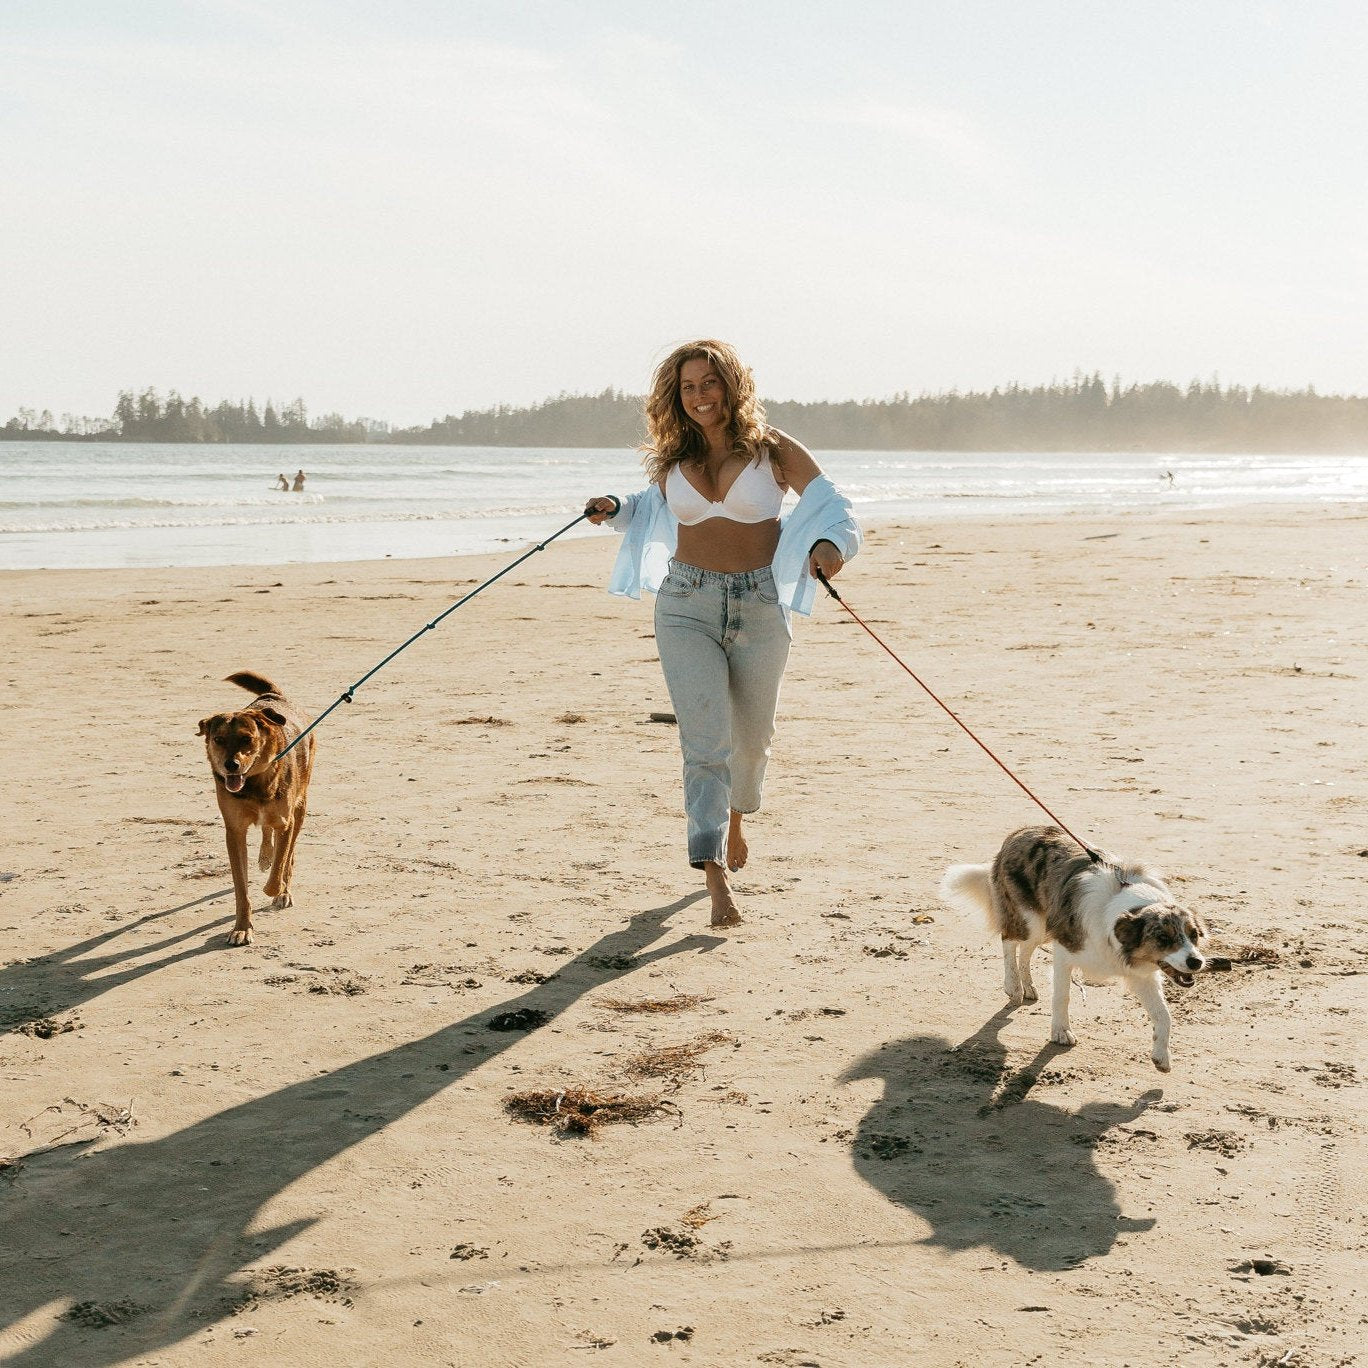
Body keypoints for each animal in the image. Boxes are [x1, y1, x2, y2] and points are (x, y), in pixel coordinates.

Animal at [198, 670, 314, 946]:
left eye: (247, 739)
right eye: (218, 740)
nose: (231, 765)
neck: (255, 783)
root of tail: (273, 696)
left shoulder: (285, 822)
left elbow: (280, 867)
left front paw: (277, 889)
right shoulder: (234, 832)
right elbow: (241, 889)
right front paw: (242, 928)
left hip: (300, 809)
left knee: (289, 853)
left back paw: (283, 887)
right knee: (265, 832)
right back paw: (264, 856)